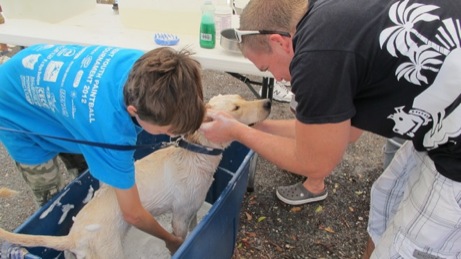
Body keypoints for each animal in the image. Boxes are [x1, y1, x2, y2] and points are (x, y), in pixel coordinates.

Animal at [0, 95, 270, 259]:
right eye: (236, 108)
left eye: (242, 98)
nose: (268, 102)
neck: (196, 154)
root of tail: (73, 236)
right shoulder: (179, 219)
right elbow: (178, 240)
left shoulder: (192, 211)